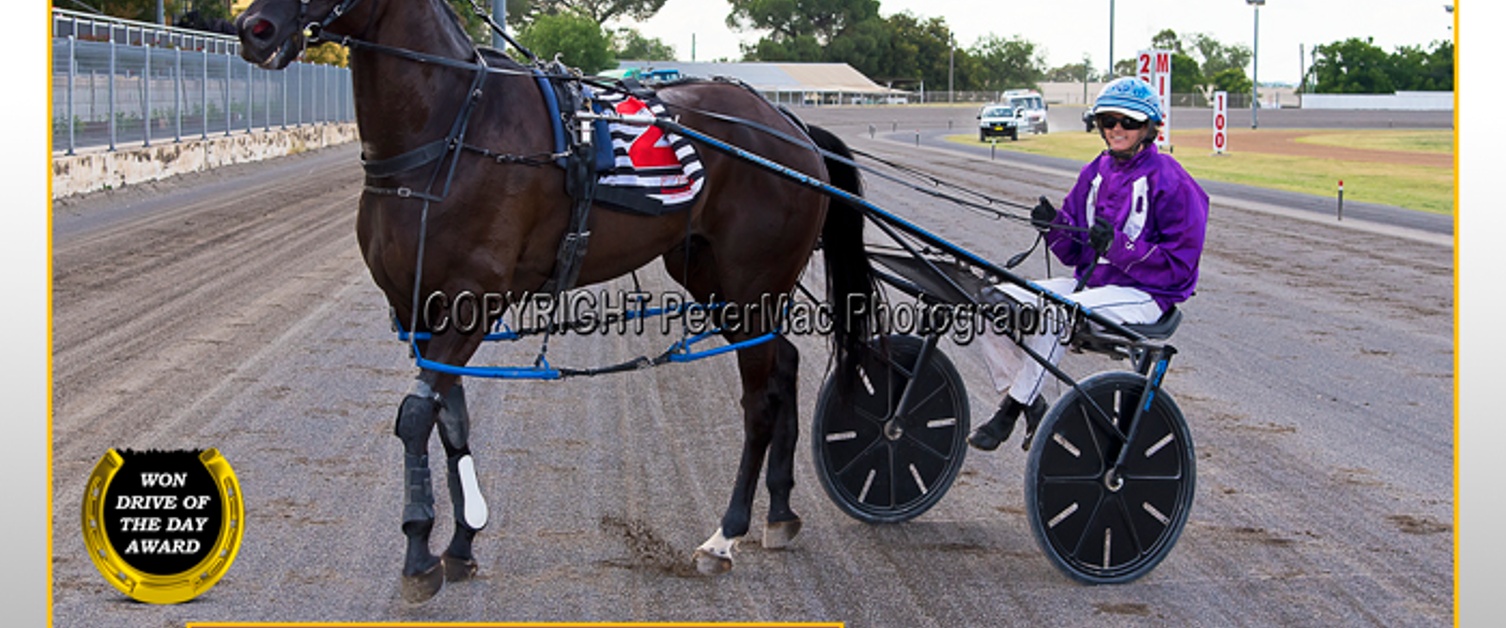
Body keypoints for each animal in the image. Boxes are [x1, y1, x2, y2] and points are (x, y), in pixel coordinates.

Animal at [233, 0, 873, 602]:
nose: (253, 28)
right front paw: (461, 543)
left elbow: (415, 418)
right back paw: (780, 512)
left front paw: (419, 556)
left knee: (759, 403)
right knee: (784, 363)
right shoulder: (418, 310)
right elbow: (450, 420)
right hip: (715, 278)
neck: (453, 126)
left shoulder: (473, 299)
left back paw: (725, 534)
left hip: (751, 282)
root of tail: (789, 123)